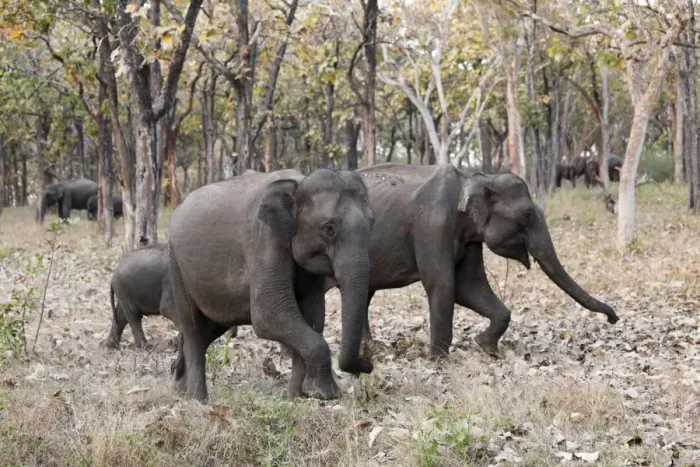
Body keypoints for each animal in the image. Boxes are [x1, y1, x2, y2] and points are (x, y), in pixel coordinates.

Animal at [167, 168, 375, 402]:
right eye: (328, 229)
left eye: (372, 224)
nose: (367, 365)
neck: (299, 183)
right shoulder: (264, 241)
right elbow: (269, 315)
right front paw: (325, 393)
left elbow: (313, 317)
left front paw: (296, 399)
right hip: (177, 266)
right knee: (194, 330)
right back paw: (198, 401)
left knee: (206, 332)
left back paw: (180, 391)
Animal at [322, 163, 618, 360]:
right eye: (527, 216)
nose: (613, 318)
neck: (478, 177)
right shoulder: (432, 225)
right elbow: (443, 284)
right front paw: (439, 361)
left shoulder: (470, 237)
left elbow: (470, 287)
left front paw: (487, 348)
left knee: (364, 294)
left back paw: (369, 349)